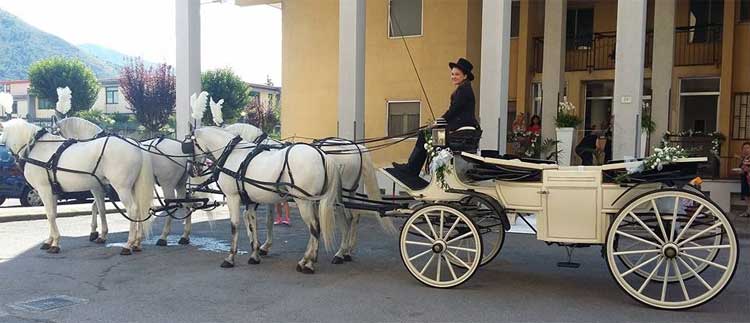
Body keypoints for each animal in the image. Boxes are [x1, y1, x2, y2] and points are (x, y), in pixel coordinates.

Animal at [0, 118, 154, 256]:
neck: (37, 147)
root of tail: (135, 145)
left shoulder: (44, 190)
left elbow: (50, 215)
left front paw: (55, 243)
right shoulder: (54, 191)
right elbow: (54, 214)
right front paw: (50, 240)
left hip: (122, 188)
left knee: (133, 209)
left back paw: (128, 244)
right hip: (132, 187)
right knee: (140, 208)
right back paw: (137, 242)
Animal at [55, 117, 209, 247]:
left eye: (56, 131)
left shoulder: (98, 187)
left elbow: (99, 207)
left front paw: (99, 233)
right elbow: (96, 206)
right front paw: (95, 231)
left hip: (167, 184)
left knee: (172, 206)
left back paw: (163, 237)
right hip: (180, 184)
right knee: (186, 204)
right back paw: (185, 236)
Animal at [192, 126, 340, 274]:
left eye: (189, 144)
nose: (195, 169)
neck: (234, 154)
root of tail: (322, 155)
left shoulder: (232, 197)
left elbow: (235, 225)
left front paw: (230, 258)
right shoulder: (251, 201)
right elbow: (253, 223)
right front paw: (255, 254)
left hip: (304, 201)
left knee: (315, 227)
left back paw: (309, 263)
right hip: (312, 201)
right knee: (315, 227)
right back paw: (306, 259)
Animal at [225, 123, 396, 264]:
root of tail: (357, 147)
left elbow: (259, 219)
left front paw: (260, 246)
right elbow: (267, 219)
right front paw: (261, 246)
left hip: (339, 195)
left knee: (347, 219)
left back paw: (341, 253)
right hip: (350, 192)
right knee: (355, 216)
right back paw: (347, 251)